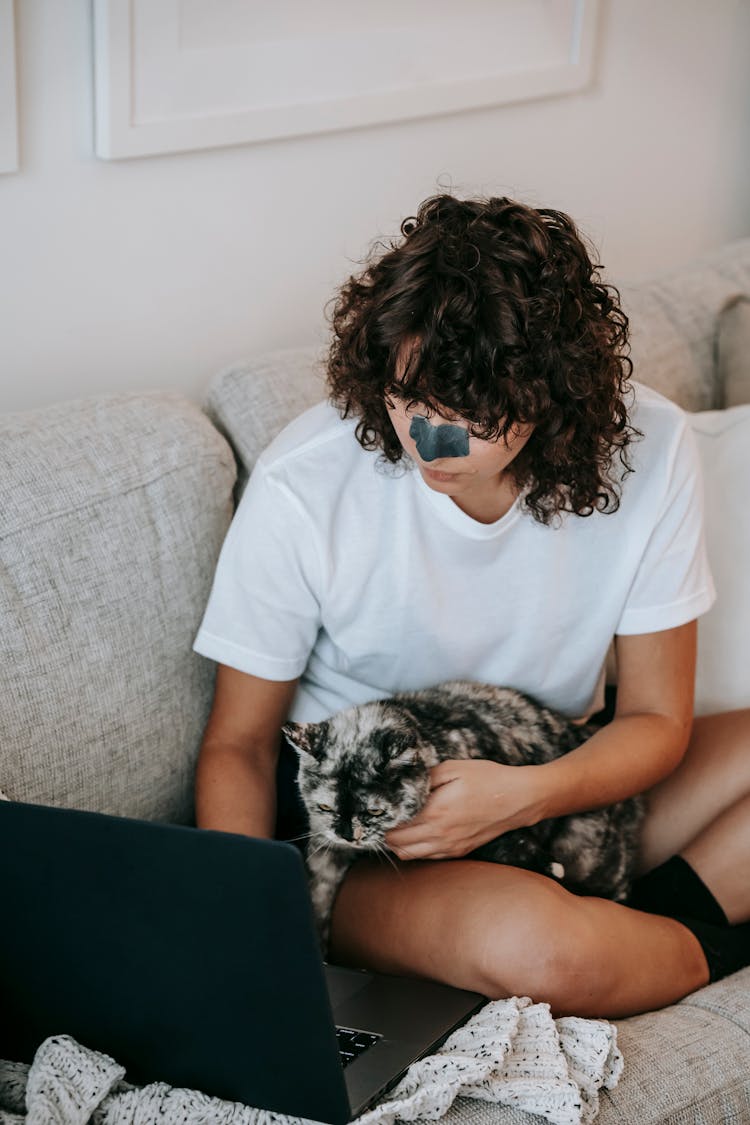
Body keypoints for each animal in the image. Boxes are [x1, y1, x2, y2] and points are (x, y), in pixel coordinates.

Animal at [281, 679, 647, 945]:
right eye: (325, 806)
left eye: (374, 810)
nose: (348, 835)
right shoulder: (324, 846)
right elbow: (317, 892)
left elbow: (510, 844)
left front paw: (547, 866)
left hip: (586, 853)